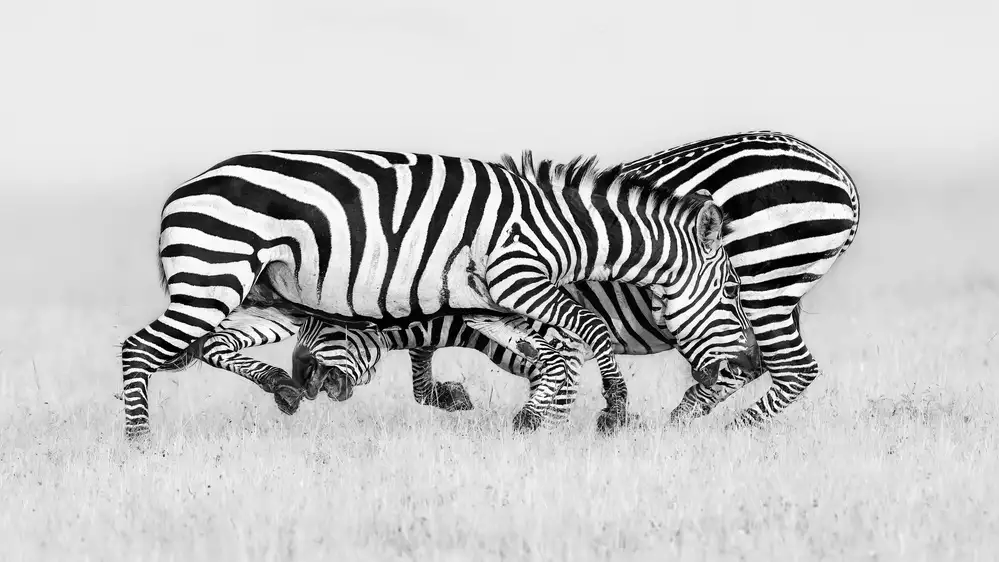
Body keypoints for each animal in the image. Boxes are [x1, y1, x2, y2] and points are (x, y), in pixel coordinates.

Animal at [122, 148, 759, 437]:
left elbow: (546, 353)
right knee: (139, 348)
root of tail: (182, 190)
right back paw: (140, 443)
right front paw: (614, 409)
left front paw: (536, 416)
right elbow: (589, 331)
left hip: (261, 291)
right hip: (214, 277)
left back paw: (281, 385)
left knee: (212, 345)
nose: (752, 366)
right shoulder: (518, 276)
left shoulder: (490, 301)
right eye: (732, 290)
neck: (567, 229)